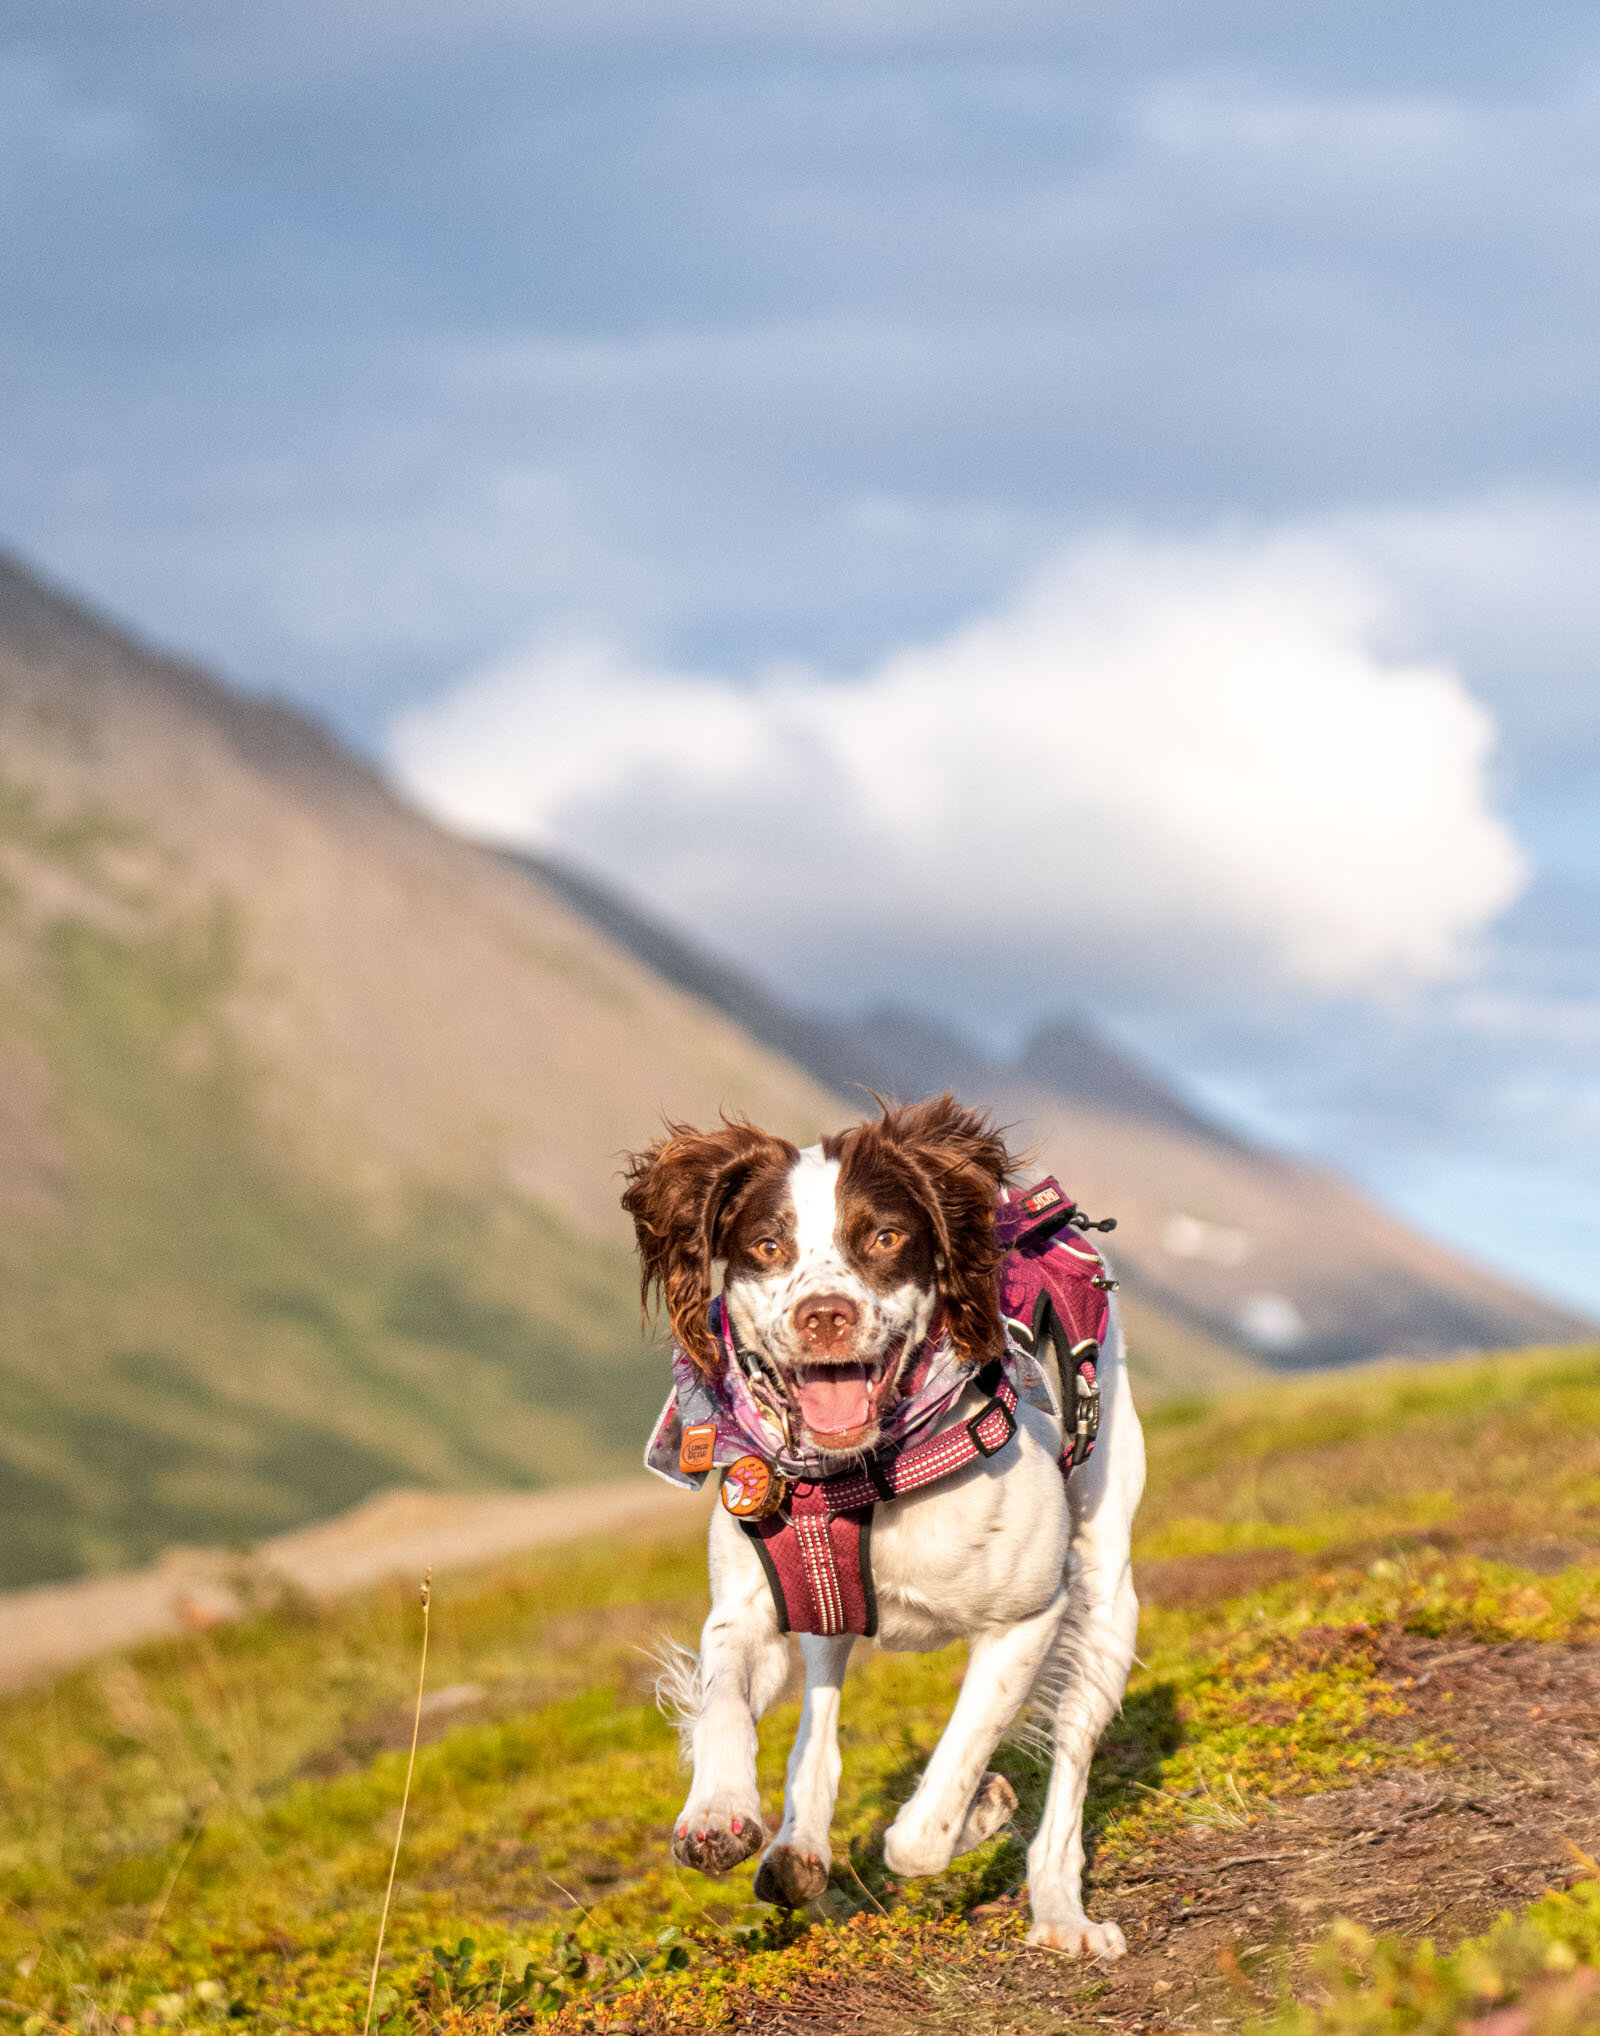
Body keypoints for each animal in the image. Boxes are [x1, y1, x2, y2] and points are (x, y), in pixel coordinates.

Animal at [618, 1099, 1139, 1954]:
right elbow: (725, 1704)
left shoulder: (1029, 1618)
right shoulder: (747, 1612)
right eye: (767, 1246)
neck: (860, 1469)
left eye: (887, 1237)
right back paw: (796, 1846)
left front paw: (979, 1809)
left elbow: (929, 1821)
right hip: (822, 1611)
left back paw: (1061, 1914)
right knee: (817, 1731)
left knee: (1069, 1767)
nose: (824, 1316)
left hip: (1106, 1596)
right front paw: (716, 1811)